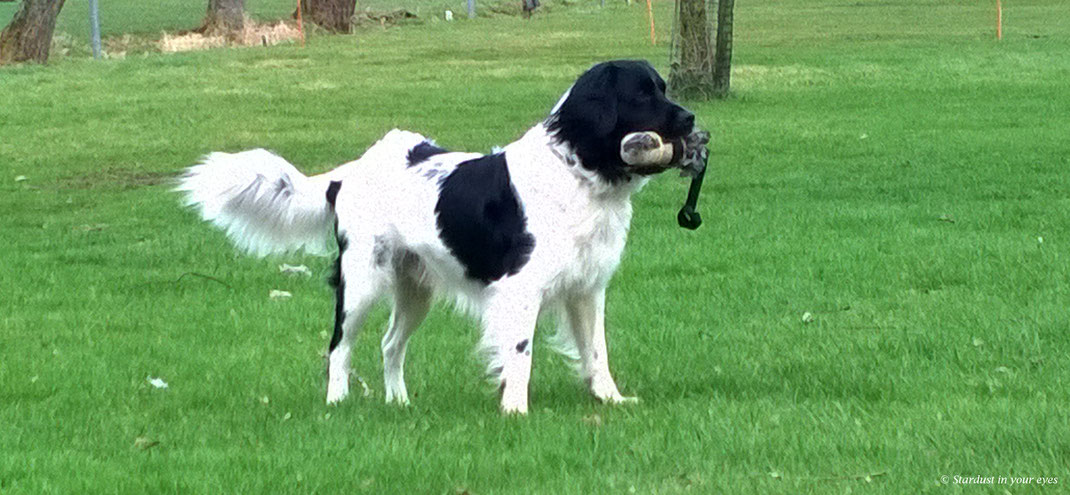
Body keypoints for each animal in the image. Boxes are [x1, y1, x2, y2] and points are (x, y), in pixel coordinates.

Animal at [179, 60, 697, 414]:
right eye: (642, 96)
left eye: (663, 89)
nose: (691, 120)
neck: (576, 171)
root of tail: (349, 172)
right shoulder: (520, 289)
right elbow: (520, 352)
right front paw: (516, 410)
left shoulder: (587, 290)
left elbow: (596, 350)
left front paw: (611, 399)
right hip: (362, 282)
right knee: (338, 347)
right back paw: (337, 403)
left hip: (416, 289)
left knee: (390, 344)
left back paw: (400, 404)